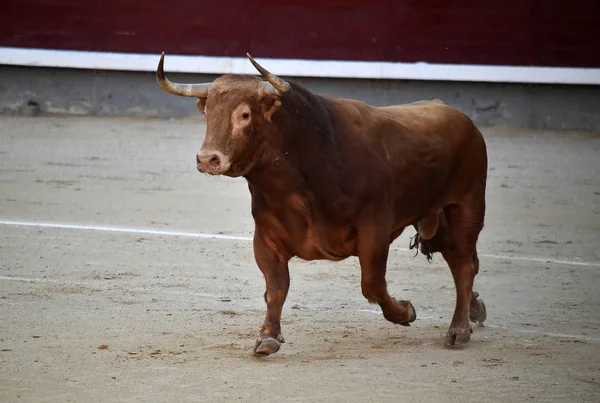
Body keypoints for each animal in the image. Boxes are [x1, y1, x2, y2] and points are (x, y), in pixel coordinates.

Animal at [156, 52, 488, 358]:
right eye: (208, 112)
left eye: (245, 115)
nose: (207, 159)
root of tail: (460, 118)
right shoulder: (266, 237)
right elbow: (276, 288)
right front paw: (268, 338)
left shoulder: (374, 232)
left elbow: (372, 284)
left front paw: (406, 311)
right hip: (435, 217)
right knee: (458, 259)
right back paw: (474, 310)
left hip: (466, 206)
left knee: (463, 263)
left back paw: (458, 330)